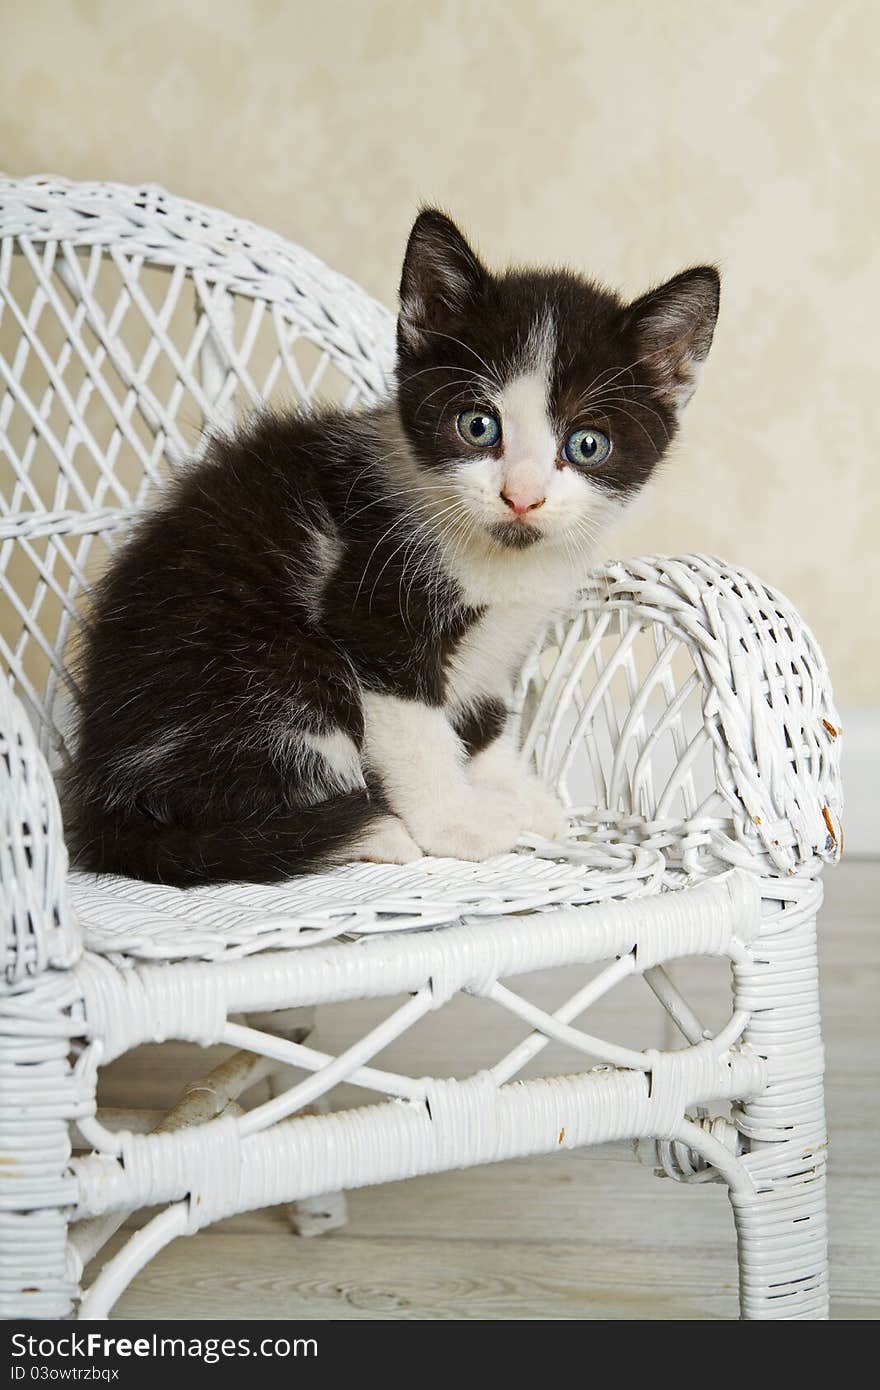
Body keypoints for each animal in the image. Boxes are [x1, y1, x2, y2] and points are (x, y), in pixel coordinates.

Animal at [63, 211, 722, 884]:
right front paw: (459, 823)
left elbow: (483, 713)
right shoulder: (370, 608)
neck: (498, 561)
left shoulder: (499, 640)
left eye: (588, 445)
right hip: (266, 675)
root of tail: (102, 790)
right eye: (478, 426)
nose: (522, 497)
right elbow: (417, 733)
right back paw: (369, 835)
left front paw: (510, 788)